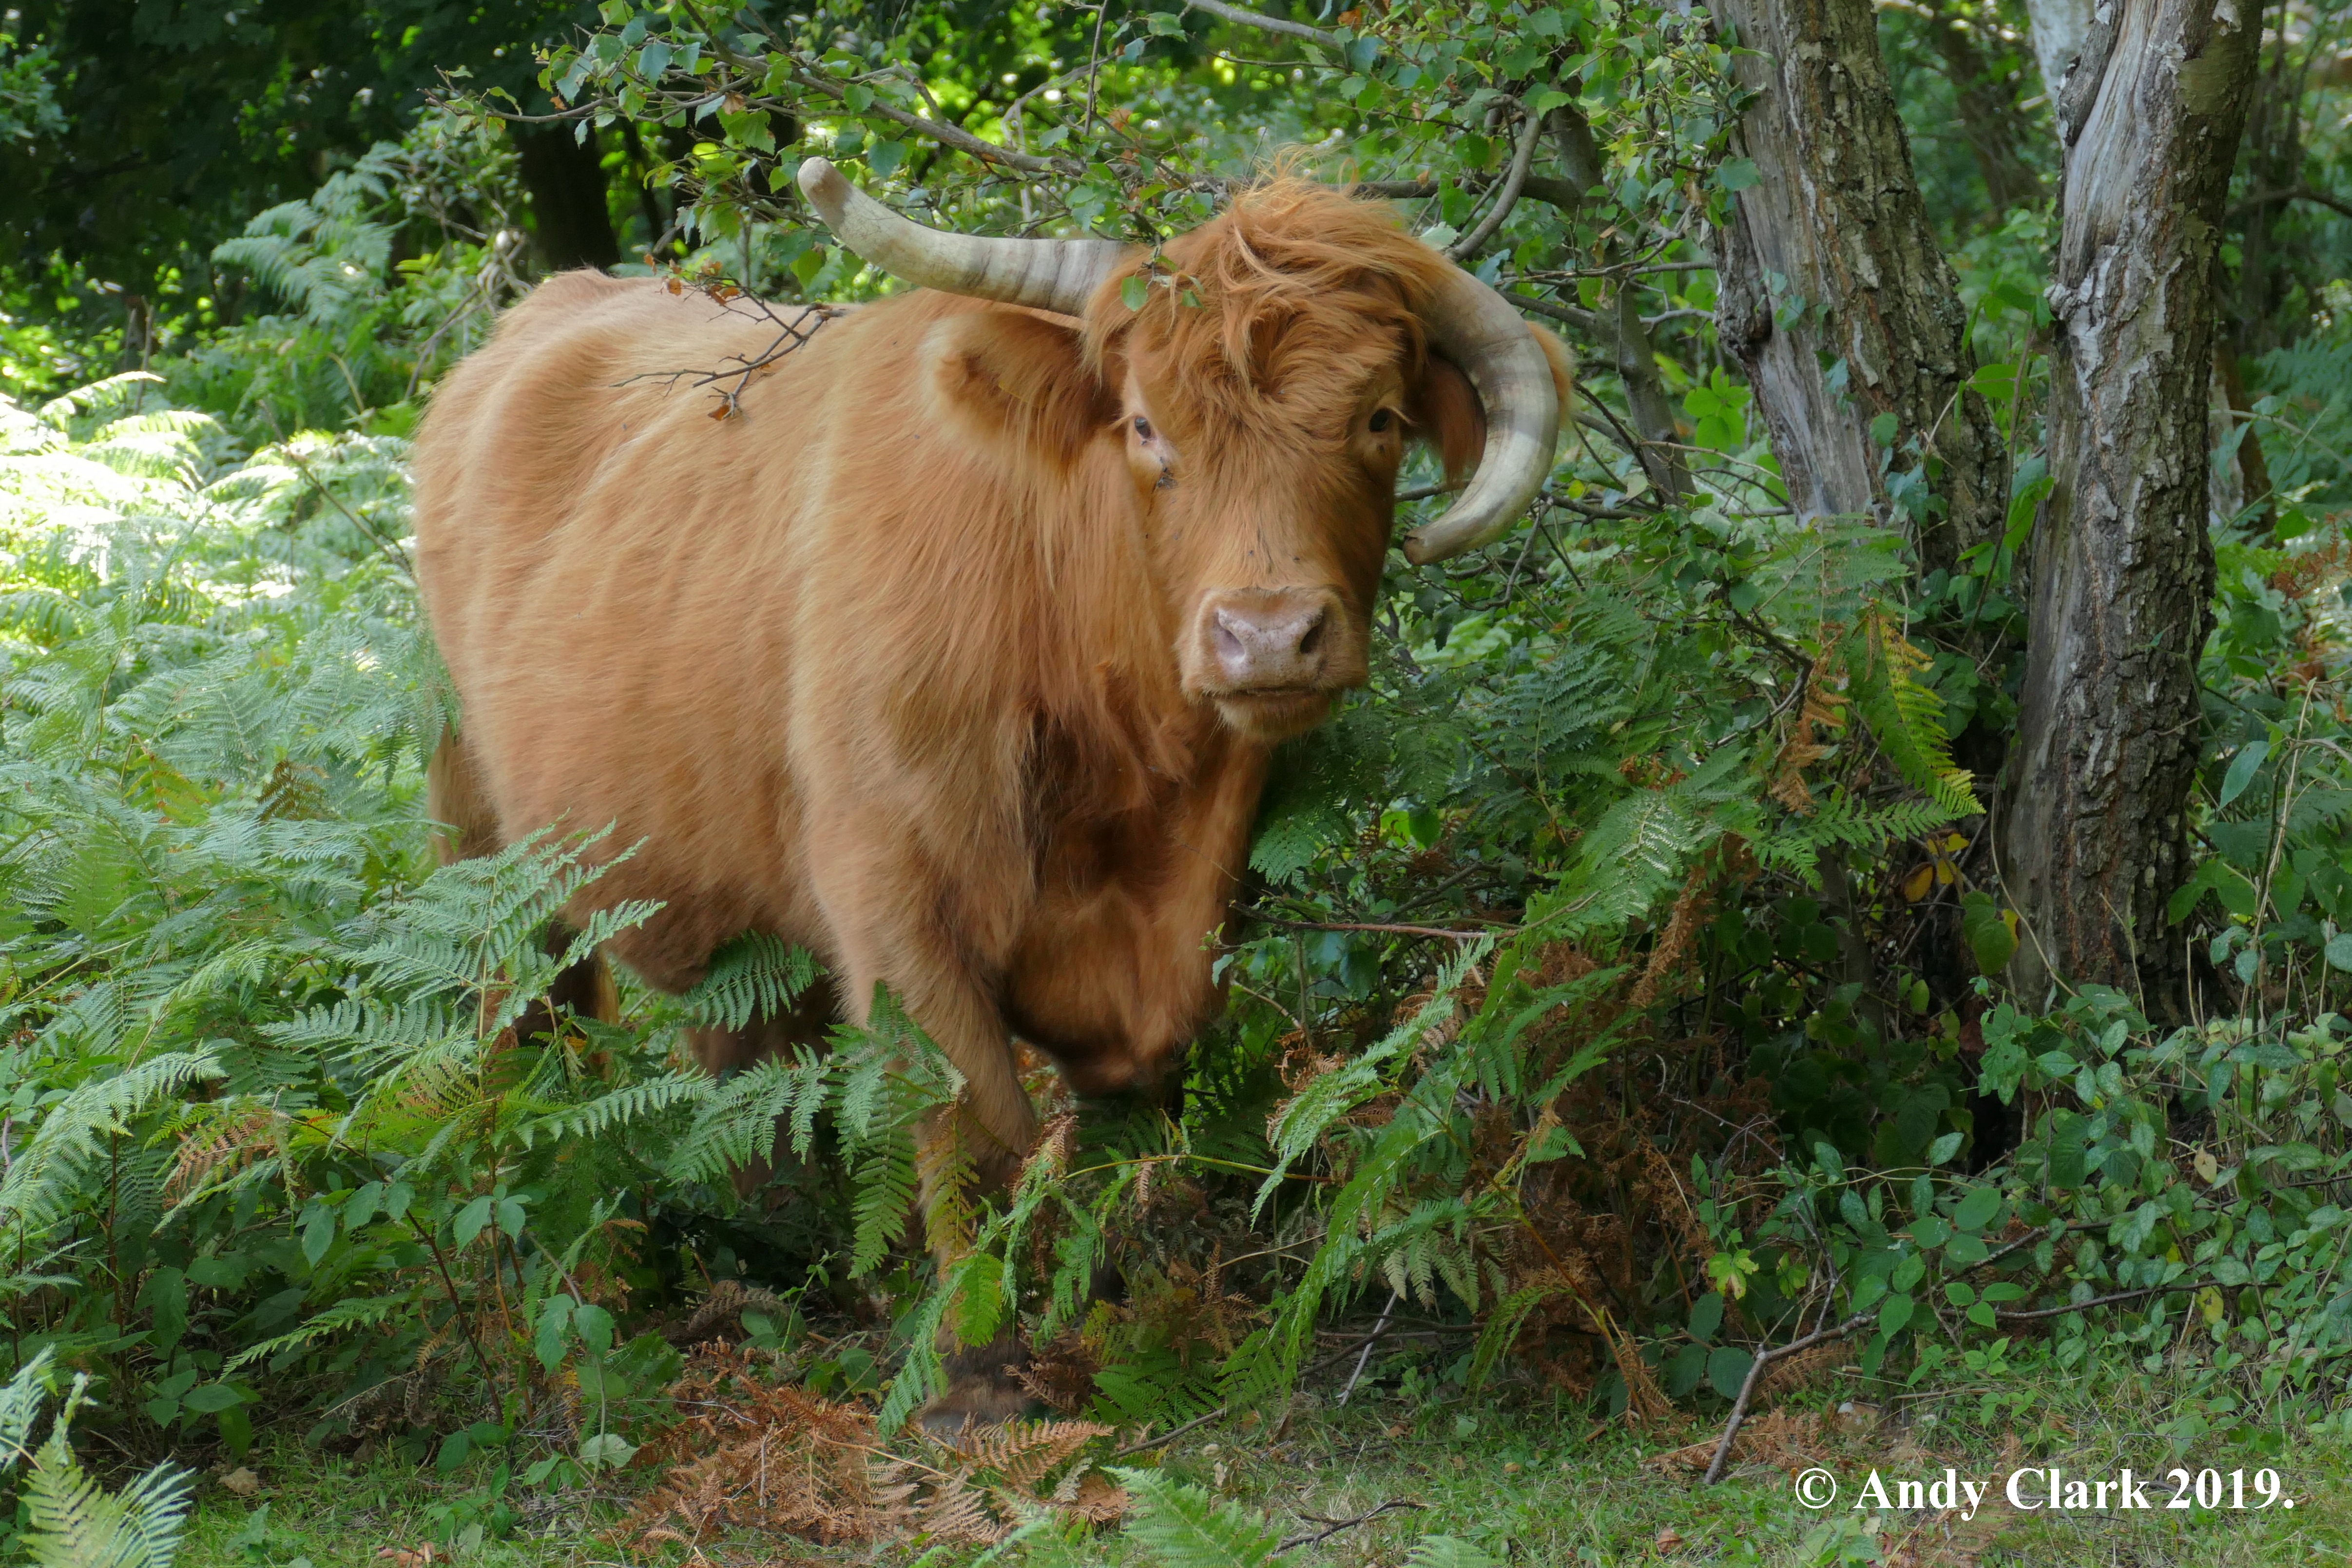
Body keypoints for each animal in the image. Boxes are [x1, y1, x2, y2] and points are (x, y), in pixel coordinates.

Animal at [411, 159, 1569, 1420]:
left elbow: (1117, 1134)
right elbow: (973, 1117)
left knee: (745, 1058)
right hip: (486, 839)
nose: (1267, 635)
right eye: (1146, 426)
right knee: (523, 1021)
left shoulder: (1176, 934)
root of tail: (538, 312)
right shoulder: (894, 902)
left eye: (1377, 420)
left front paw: (1117, 1311)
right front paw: (975, 1367)